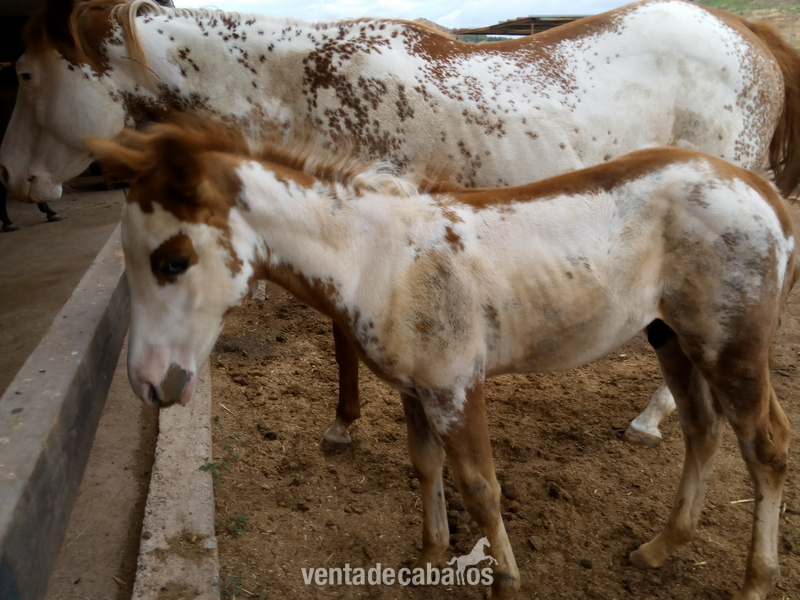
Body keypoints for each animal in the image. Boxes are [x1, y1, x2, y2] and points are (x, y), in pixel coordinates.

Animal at [3, 0, 800, 447]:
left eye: (25, 74)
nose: (13, 177)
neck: (302, 89)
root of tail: (747, 30)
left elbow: (342, 334)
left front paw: (344, 426)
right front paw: (347, 420)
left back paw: (650, 419)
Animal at [86, 119, 794, 600]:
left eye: (172, 260)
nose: (149, 384)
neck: (379, 260)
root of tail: (762, 191)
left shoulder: (456, 387)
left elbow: (480, 486)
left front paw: (504, 581)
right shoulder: (414, 388)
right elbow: (424, 465)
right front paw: (430, 556)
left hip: (731, 348)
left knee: (765, 445)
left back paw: (756, 581)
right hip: (671, 337)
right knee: (702, 430)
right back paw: (660, 547)